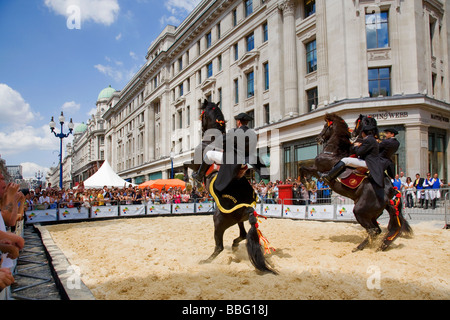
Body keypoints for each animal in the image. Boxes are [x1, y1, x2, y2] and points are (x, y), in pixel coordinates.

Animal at [300, 114, 414, 251]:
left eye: (325, 126)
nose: (318, 138)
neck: (333, 152)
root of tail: (390, 194)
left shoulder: (318, 169)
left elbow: (303, 169)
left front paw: (306, 183)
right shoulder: (316, 169)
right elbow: (304, 168)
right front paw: (308, 183)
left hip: (360, 211)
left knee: (374, 231)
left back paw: (359, 247)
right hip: (371, 215)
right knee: (378, 230)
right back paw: (376, 246)